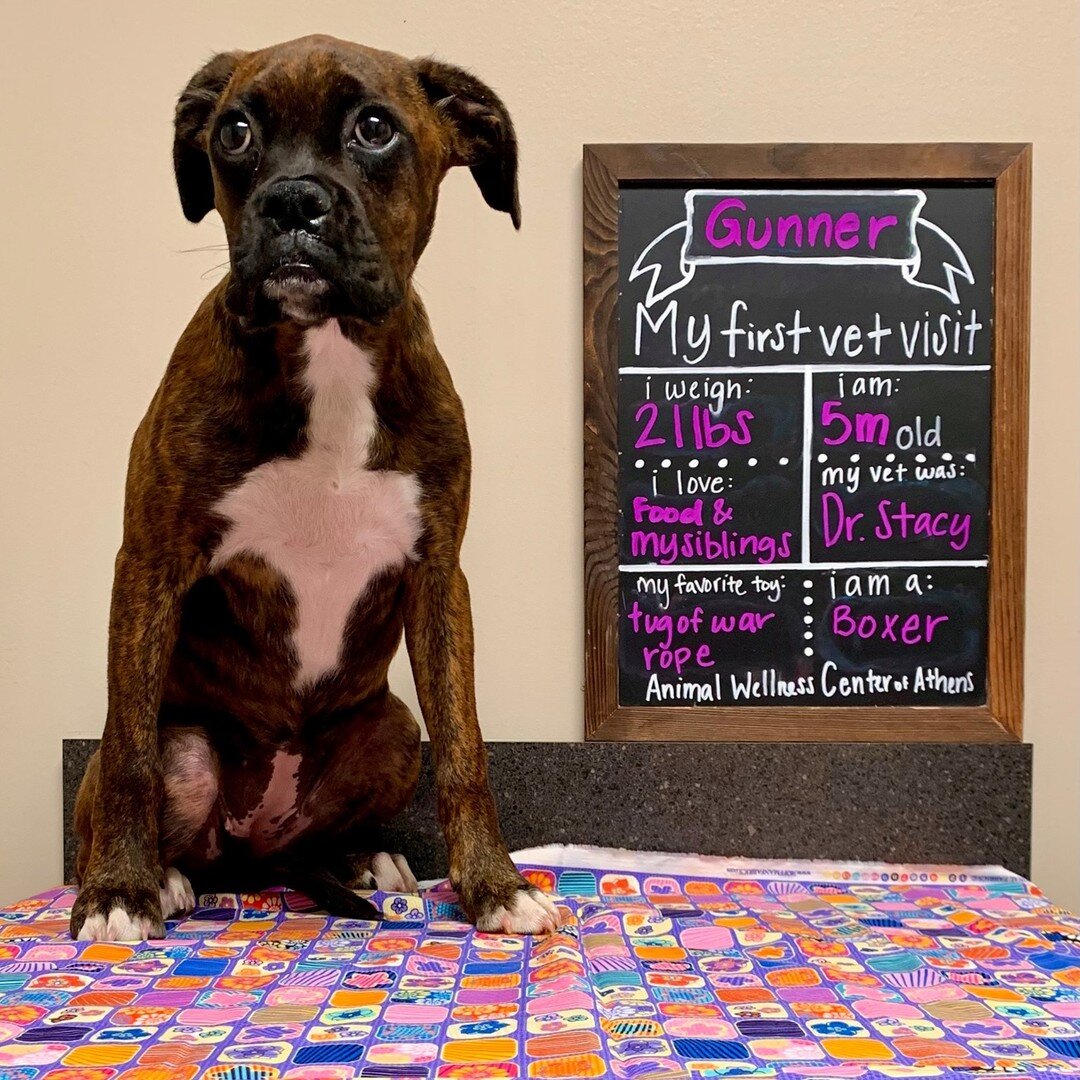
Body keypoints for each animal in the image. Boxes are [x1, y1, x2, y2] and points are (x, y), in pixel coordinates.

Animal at [68, 33, 557, 941]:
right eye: (233, 133)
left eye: (375, 128)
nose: (293, 200)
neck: (327, 351)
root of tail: (257, 848)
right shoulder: (149, 563)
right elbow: (128, 755)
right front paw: (118, 892)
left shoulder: (439, 578)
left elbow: (465, 749)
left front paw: (494, 886)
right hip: (191, 752)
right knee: (157, 781)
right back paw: (165, 877)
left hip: (392, 732)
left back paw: (364, 858)